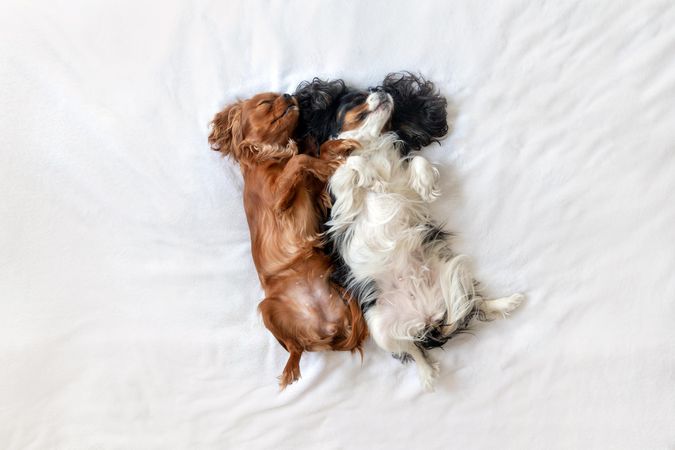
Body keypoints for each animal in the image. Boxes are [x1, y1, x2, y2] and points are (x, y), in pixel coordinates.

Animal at [209, 92, 368, 390]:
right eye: (265, 103)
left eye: (278, 95)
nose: (287, 94)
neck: (273, 158)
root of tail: (324, 329)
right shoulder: (278, 202)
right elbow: (301, 160)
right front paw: (325, 158)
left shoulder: (314, 193)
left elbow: (311, 158)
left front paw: (335, 147)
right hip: (267, 309)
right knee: (295, 348)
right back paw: (289, 370)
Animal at [294, 74, 524, 390]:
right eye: (356, 98)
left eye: (377, 91)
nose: (383, 91)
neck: (370, 147)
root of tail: (426, 318)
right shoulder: (336, 200)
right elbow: (350, 165)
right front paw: (367, 173)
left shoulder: (403, 178)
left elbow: (417, 161)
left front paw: (425, 183)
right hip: (378, 326)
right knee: (412, 348)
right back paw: (427, 374)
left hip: (453, 272)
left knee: (474, 303)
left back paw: (504, 302)